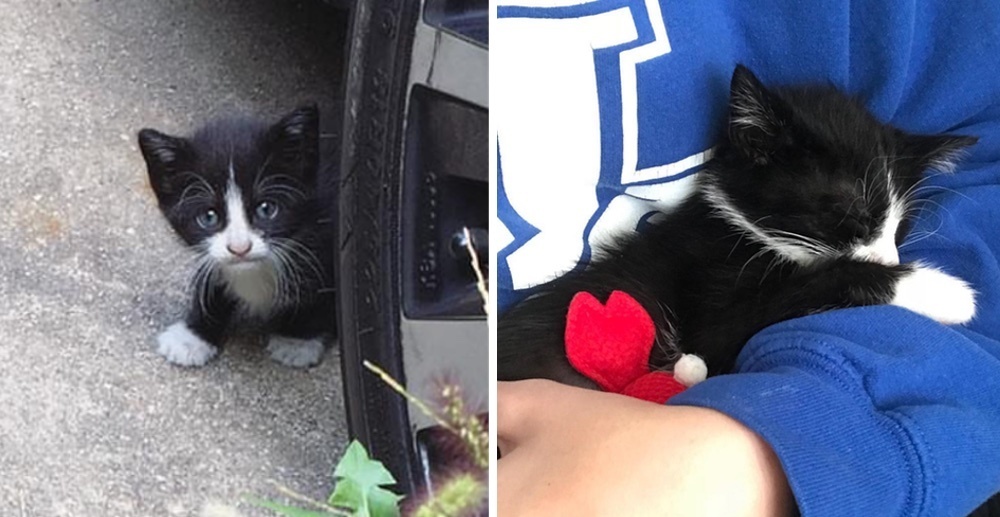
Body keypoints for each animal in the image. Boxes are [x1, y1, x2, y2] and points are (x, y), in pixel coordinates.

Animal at [500, 64, 976, 388]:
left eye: (901, 227)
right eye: (850, 214)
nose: (887, 257)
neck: (743, 229)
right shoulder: (706, 316)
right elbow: (807, 285)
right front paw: (944, 292)